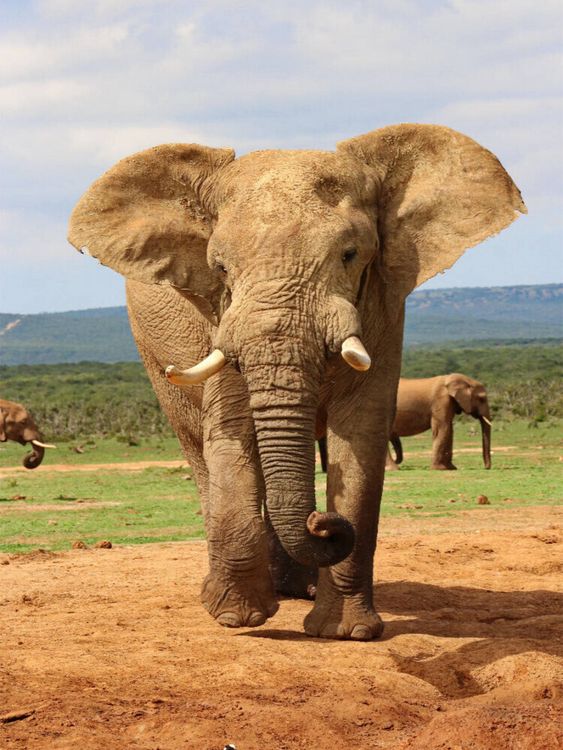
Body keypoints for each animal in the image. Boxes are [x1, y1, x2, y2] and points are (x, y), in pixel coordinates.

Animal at [68, 123, 525, 640]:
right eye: (220, 267)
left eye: (350, 255)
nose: (322, 525)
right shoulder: (223, 318)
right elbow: (231, 431)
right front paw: (238, 618)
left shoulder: (383, 304)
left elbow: (361, 436)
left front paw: (346, 632)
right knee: (198, 450)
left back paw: (296, 589)